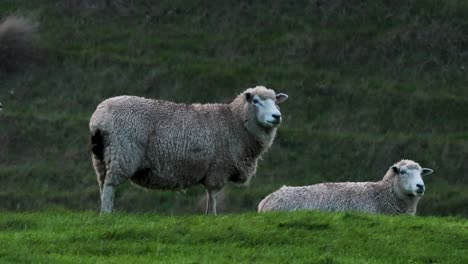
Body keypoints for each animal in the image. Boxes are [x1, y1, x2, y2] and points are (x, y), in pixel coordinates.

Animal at [89, 86, 288, 214]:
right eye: (256, 101)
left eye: (276, 102)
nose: (276, 116)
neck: (234, 121)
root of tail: (98, 118)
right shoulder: (218, 168)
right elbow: (213, 194)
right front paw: (212, 216)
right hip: (122, 153)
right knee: (110, 185)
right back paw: (107, 214)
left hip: (101, 157)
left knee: (102, 184)